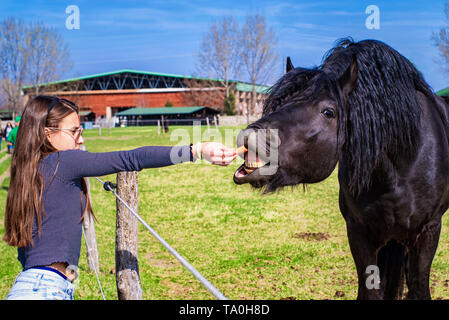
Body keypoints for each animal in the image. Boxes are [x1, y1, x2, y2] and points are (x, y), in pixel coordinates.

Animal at [233, 38, 448, 300]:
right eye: (278, 102)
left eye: (329, 112)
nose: (250, 138)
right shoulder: (358, 233)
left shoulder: (428, 233)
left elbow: (419, 287)